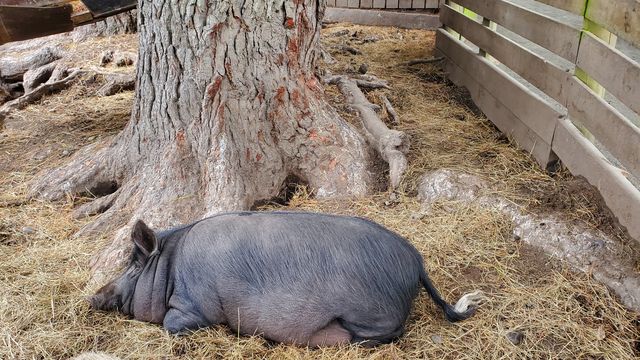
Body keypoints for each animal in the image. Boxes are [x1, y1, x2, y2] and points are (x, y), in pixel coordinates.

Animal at [87, 211, 482, 346]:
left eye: (132, 266)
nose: (93, 296)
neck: (170, 268)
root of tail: (416, 260)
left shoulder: (195, 305)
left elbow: (172, 323)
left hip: (370, 314)